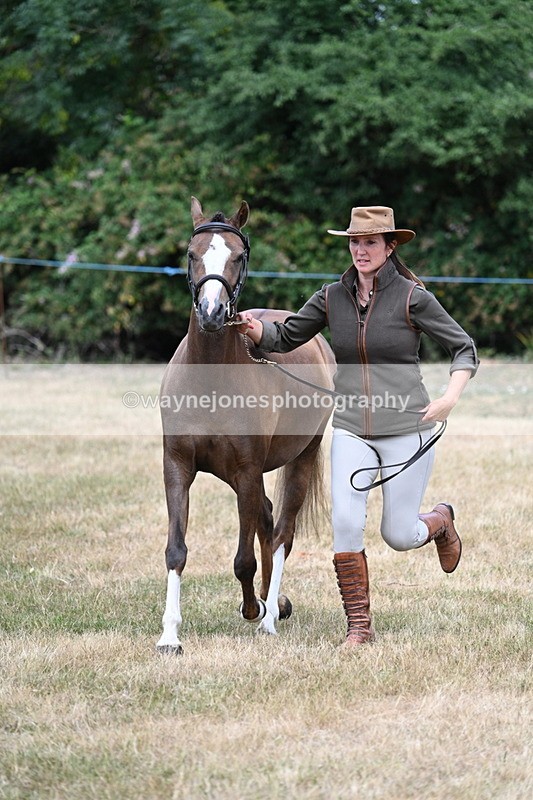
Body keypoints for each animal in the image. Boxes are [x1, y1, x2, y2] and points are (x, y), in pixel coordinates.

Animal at [157, 196, 335, 654]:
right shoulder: (177, 468)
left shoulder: (247, 471)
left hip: (298, 459)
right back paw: (277, 602)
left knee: (282, 531)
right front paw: (169, 635)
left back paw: (269, 615)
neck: (211, 380)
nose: (212, 312)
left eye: (238, 257)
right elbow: (176, 550)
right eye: (191, 254)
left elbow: (243, 560)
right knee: (268, 522)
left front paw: (255, 609)